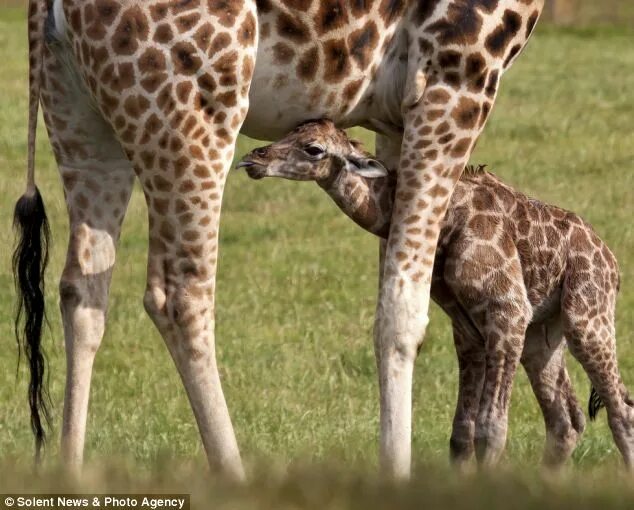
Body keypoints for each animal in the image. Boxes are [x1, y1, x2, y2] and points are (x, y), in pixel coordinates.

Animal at [13, 0, 544, 478]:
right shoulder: (458, 70)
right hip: (195, 99)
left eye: (312, 147)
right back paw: (235, 475)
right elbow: (403, 313)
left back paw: (72, 471)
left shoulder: (395, 113)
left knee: (82, 288)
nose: (261, 158)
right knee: (179, 296)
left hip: (77, 108)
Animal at [238, 119, 632, 470]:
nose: (252, 159)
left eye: (313, 149)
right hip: (543, 333)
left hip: (586, 316)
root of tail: (612, 262)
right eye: (290, 131)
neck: (444, 221)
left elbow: (491, 429)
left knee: (620, 411)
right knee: (567, 419)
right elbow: (461, 433)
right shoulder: (468, 328)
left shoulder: (507, 310)